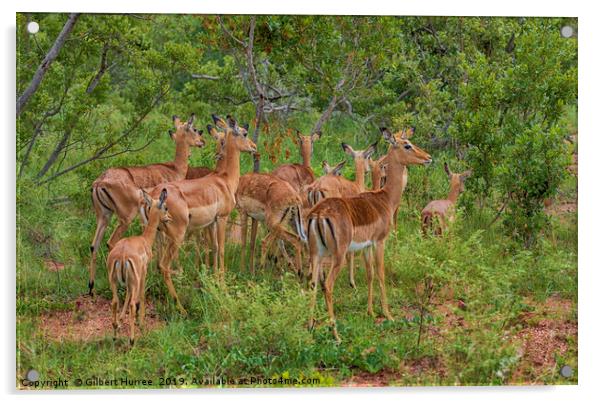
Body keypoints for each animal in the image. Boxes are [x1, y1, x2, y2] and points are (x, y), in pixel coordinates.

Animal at [87, 115, 204, 296]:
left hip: (103, 216)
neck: (174, 169)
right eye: (194, 129)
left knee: (94, 245)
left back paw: (91, 287)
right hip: (125, 218)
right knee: (110, 243)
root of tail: (100, 182)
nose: (202, 141)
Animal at [105, 188, 170, 346]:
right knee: (133, 304)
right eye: (165, 207)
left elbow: (127, 295)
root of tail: (122, 256)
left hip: (113, 281)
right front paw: (142, 324)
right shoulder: (143, 273)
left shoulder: (129, 283)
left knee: (115, 301)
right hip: (134, 280)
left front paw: (120, 321)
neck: (144, 240)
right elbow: (141, 296)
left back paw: (115, 334)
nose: (168, 218)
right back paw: (132, 340)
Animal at [147, 115, 255, 314]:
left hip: (157, 234)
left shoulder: (210, 223)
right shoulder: (222, 218)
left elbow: (213, 248)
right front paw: (223, 287)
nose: (253, 146)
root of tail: (154, 196)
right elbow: (221, 249)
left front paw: (212, 282)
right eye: (244, 132)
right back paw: (181, 307)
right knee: (163, 265)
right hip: (176, 236)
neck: (224, 180)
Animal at [304, 128, 432, 342]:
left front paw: (370, 311)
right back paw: (336, 334)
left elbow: (370, 274)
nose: (428, 158)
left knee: (313, 283)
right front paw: (388, 314)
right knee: (327, 285)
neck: (385, 198)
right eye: (407, 145)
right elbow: (380, 273)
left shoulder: (366, 246)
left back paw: (310, 326)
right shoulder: (380, 242)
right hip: (337, 255)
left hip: (317, 254)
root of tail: (319, 213)